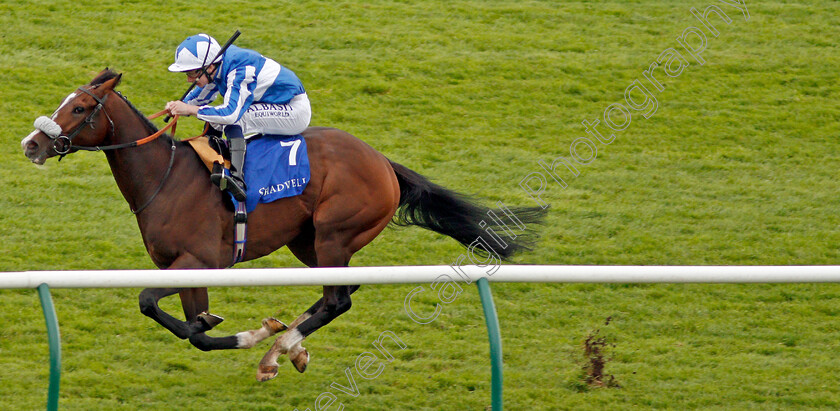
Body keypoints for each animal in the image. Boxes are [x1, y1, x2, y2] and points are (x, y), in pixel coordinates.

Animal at [21, 69, 544, 382]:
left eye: (80, 108)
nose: (31, 144)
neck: (164, 178)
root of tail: (383, 163)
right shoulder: (187, 268)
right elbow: (193, 328)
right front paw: (246, 331)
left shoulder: (201, 261)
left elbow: (160, 309)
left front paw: (253, 336)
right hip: (307, 244)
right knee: (345, 291)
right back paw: (285, 346)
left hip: (334, 232)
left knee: (337, 299)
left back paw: (282, 347)